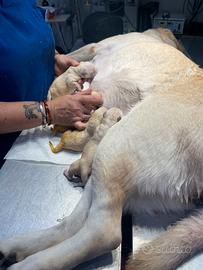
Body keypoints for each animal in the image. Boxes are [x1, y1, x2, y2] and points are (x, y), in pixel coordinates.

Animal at [0, 28, 203, 268]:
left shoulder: (94, 46)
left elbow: (71, 57)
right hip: (112, 164)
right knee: (73, 224)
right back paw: (14, 248)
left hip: (117, 144)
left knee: (103, 233)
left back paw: (29, 263)